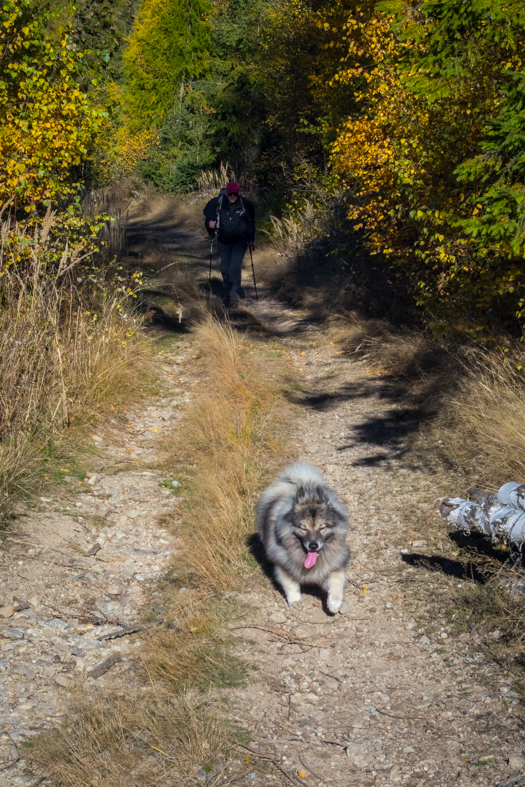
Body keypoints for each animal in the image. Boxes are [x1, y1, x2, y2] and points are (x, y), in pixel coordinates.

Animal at [256, 462, 350, 616]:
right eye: (303, 528)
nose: (313, 545)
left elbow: (336, 581)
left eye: (322, 527)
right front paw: (295, 601)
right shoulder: (283, 563)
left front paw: (334, 604)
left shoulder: (335, 562)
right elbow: (291, 584)